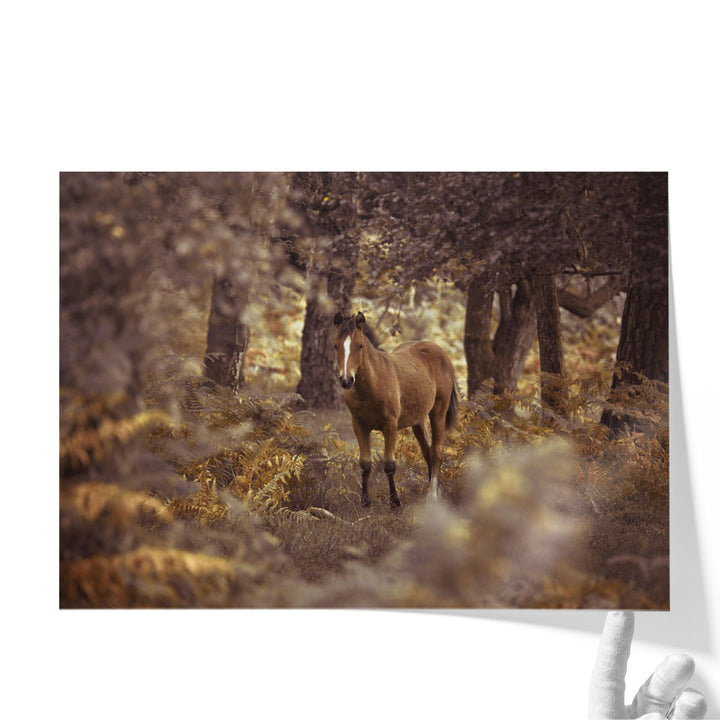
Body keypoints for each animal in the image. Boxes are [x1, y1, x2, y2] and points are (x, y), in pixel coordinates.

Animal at [333, 311, 458, 508]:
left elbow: (389, 465)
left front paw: (395, 503)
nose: (346, 380)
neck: (372, 385)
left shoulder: (390, 425)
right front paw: (365, 502)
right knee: (427, 452)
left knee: (436, 452)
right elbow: (365, 463)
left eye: (360, 345)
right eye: (336, 345)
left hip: (438, 411)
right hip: (418, 421)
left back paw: (432, 497)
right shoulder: (359, 425)